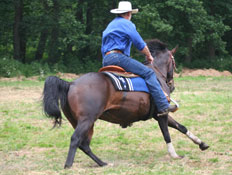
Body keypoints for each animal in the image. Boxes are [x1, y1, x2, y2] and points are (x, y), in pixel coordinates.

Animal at [42, 39, 209, 168]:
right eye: (173, 62)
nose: (172, 85)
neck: (156, 74)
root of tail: (71, 84)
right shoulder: (162, 114)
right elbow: (167, 134)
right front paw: (174, 155)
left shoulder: (159, 114)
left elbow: (181, 127)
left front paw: (201, 143)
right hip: (87, 120)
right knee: (76, 140)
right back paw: (69, 165)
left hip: (81, 122)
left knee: (84, 144)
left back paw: (102, 163)